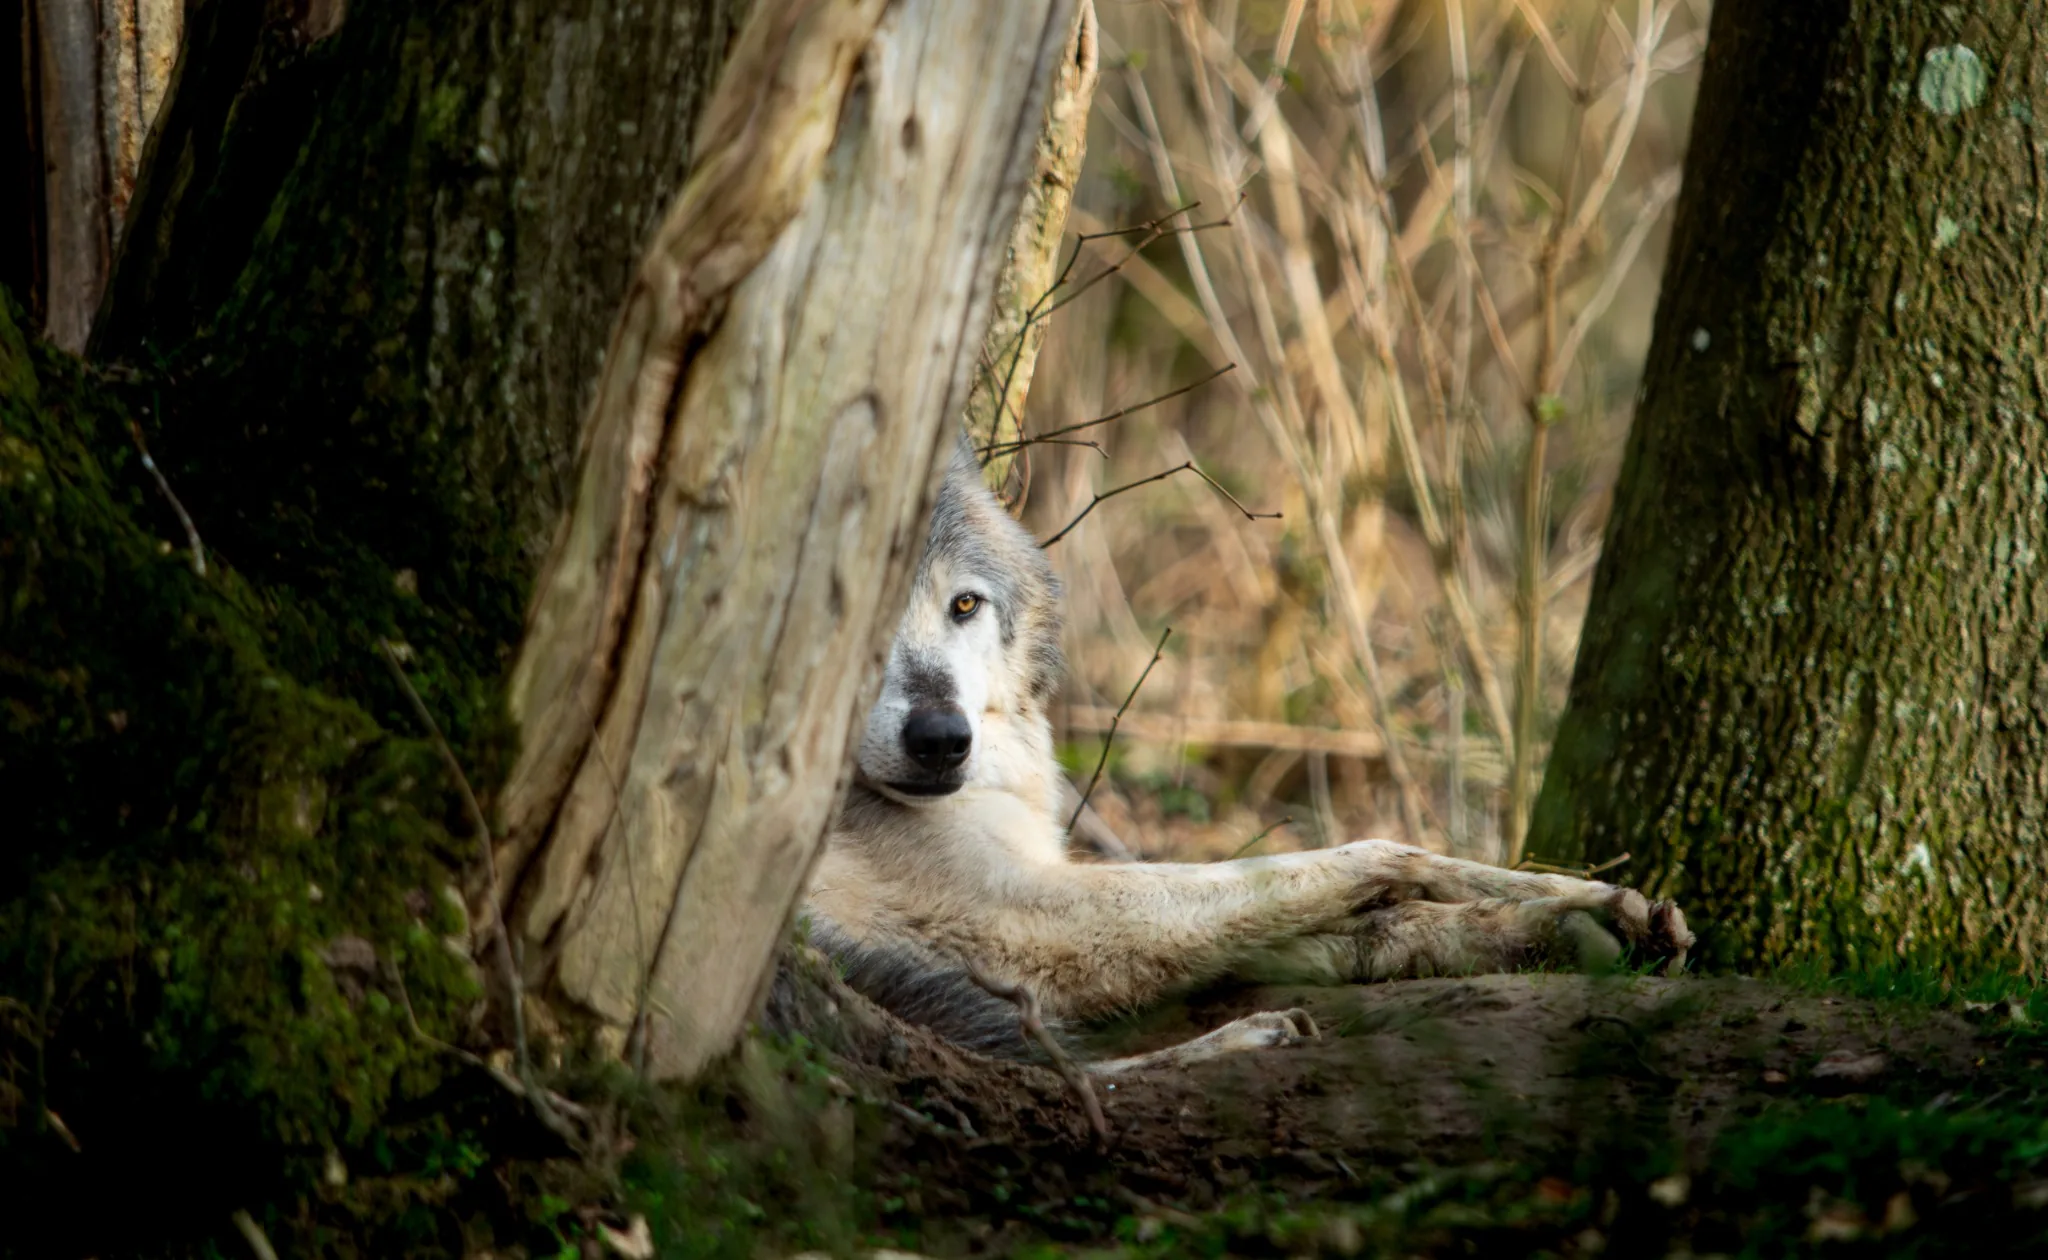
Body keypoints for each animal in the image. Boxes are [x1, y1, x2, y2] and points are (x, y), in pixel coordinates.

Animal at [801, 443, 1692, 1072]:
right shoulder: (1029, 917)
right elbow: (1371, 852)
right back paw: (1250, 1038)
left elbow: (1350, 921)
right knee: (1071, 1075)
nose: (941, 739)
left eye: (964, 604)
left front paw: (1577, 919)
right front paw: (1569, 904)